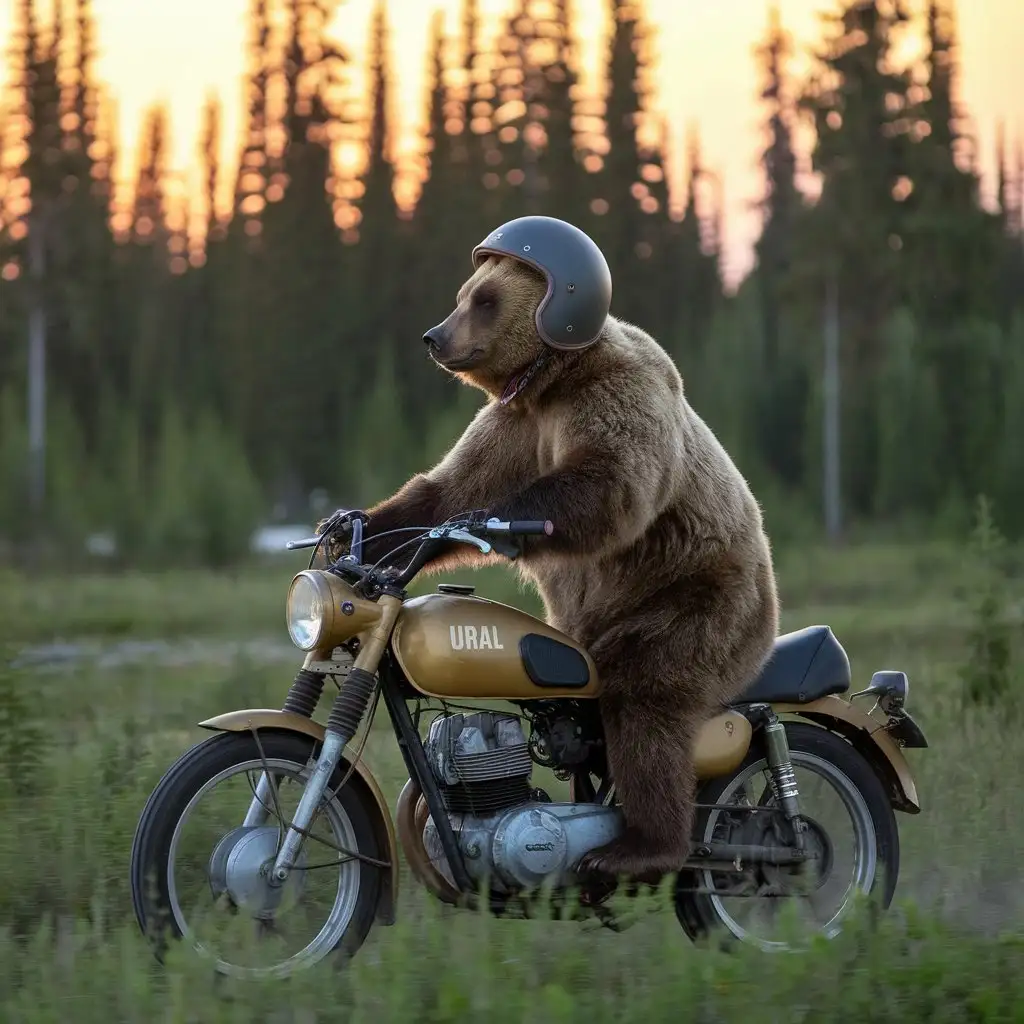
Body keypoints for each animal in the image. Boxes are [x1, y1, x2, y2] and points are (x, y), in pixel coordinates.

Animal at [319, 220, 774, 884]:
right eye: (465, 292)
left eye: (484, 301)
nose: (434, 336)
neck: (554, 378)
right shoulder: (514, 424)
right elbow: (447, 486)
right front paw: (351, 527)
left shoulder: (614, 394)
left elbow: (609, 483)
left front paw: (481, 522)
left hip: (703, 604)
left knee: (648, 703)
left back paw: (643, 846)